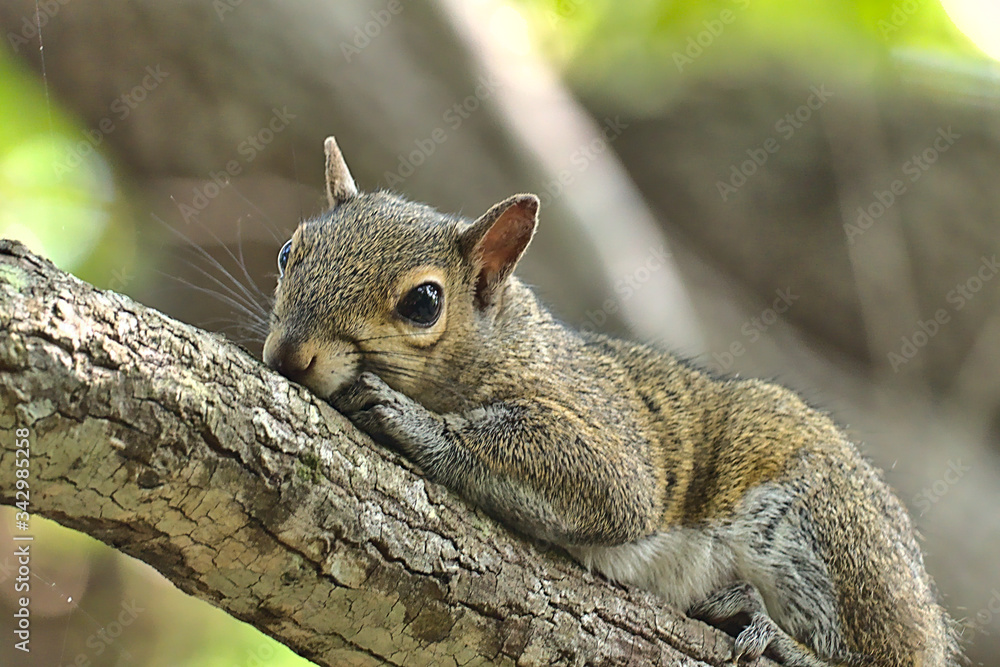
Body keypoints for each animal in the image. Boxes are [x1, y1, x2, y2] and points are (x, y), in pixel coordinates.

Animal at [262, 137, 962, 666]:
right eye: (287, 251)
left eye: (424, 302)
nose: (288, 355)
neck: (499, 347)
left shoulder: (605, 427)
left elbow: (613, 486)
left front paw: (407, 418)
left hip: (830, 535)